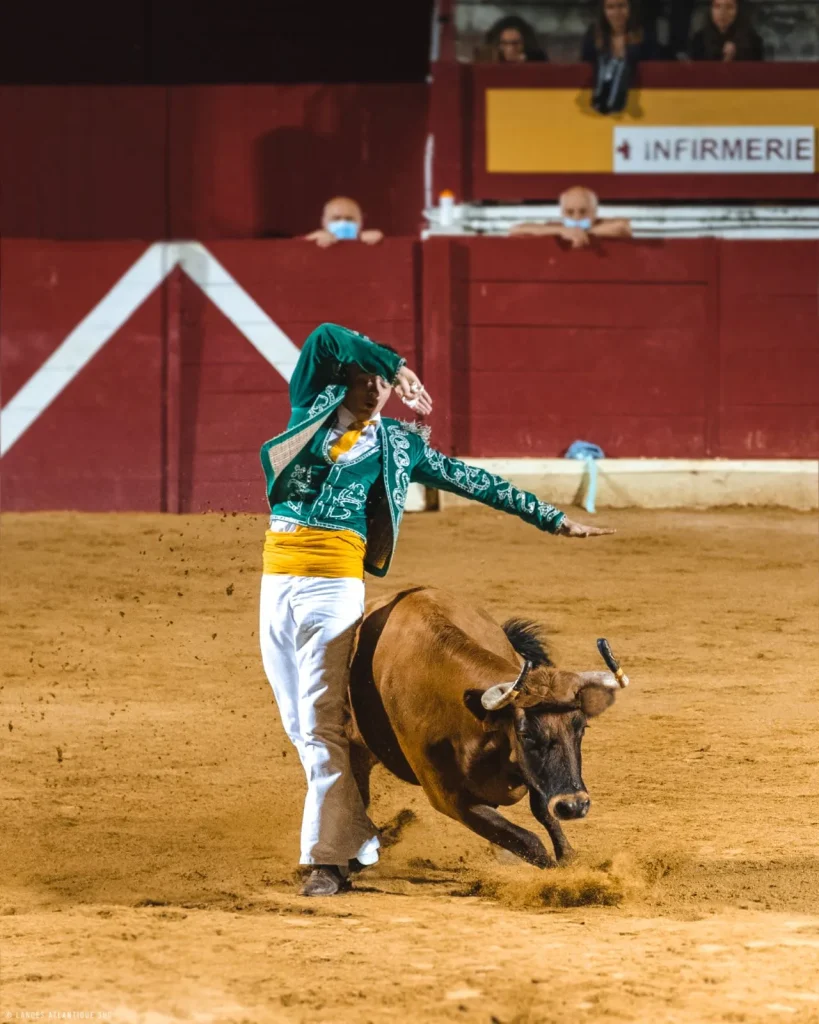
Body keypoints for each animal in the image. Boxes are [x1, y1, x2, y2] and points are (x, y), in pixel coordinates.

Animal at [348, 589, 626, 868]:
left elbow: (543, 813)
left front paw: (569, 859)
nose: (574, 806)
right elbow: (527, 841)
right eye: (524, 734)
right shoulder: (448, 798)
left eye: (582, 727)